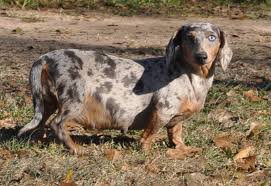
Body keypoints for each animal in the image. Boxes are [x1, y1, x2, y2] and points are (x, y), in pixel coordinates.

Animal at [18, 22, 233, 155]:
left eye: (212, 37)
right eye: (189, 37)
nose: (201, 56)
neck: (191, 75)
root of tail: (46, 58)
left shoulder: (175, 120)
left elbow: (176, 135)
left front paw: (183, 148)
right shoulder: (162, 111)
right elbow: (148, 136)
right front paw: (146, 152)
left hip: (47, 102)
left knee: (41, 124)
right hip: (74, 100)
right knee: (57, 124)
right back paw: (76, 149)